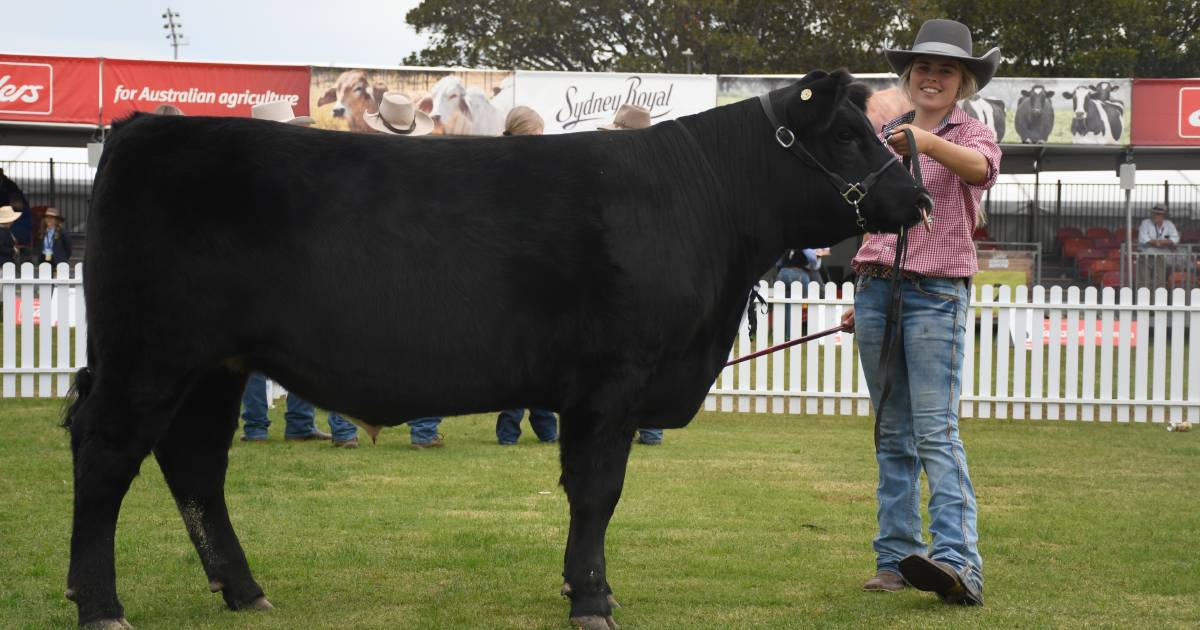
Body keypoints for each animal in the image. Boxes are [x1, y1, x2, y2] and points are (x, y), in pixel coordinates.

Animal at [65, 69, 921, 628]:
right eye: (849, 135)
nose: (914, 196)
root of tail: (150, 124)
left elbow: (588, 494)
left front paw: (589, 591)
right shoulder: (613, 382)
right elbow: (598, 493)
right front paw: (592, 600)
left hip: (213, 365)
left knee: (194, 466)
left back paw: (245, 591)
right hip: (150, 357)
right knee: (106, 455)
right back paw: (101, 605)